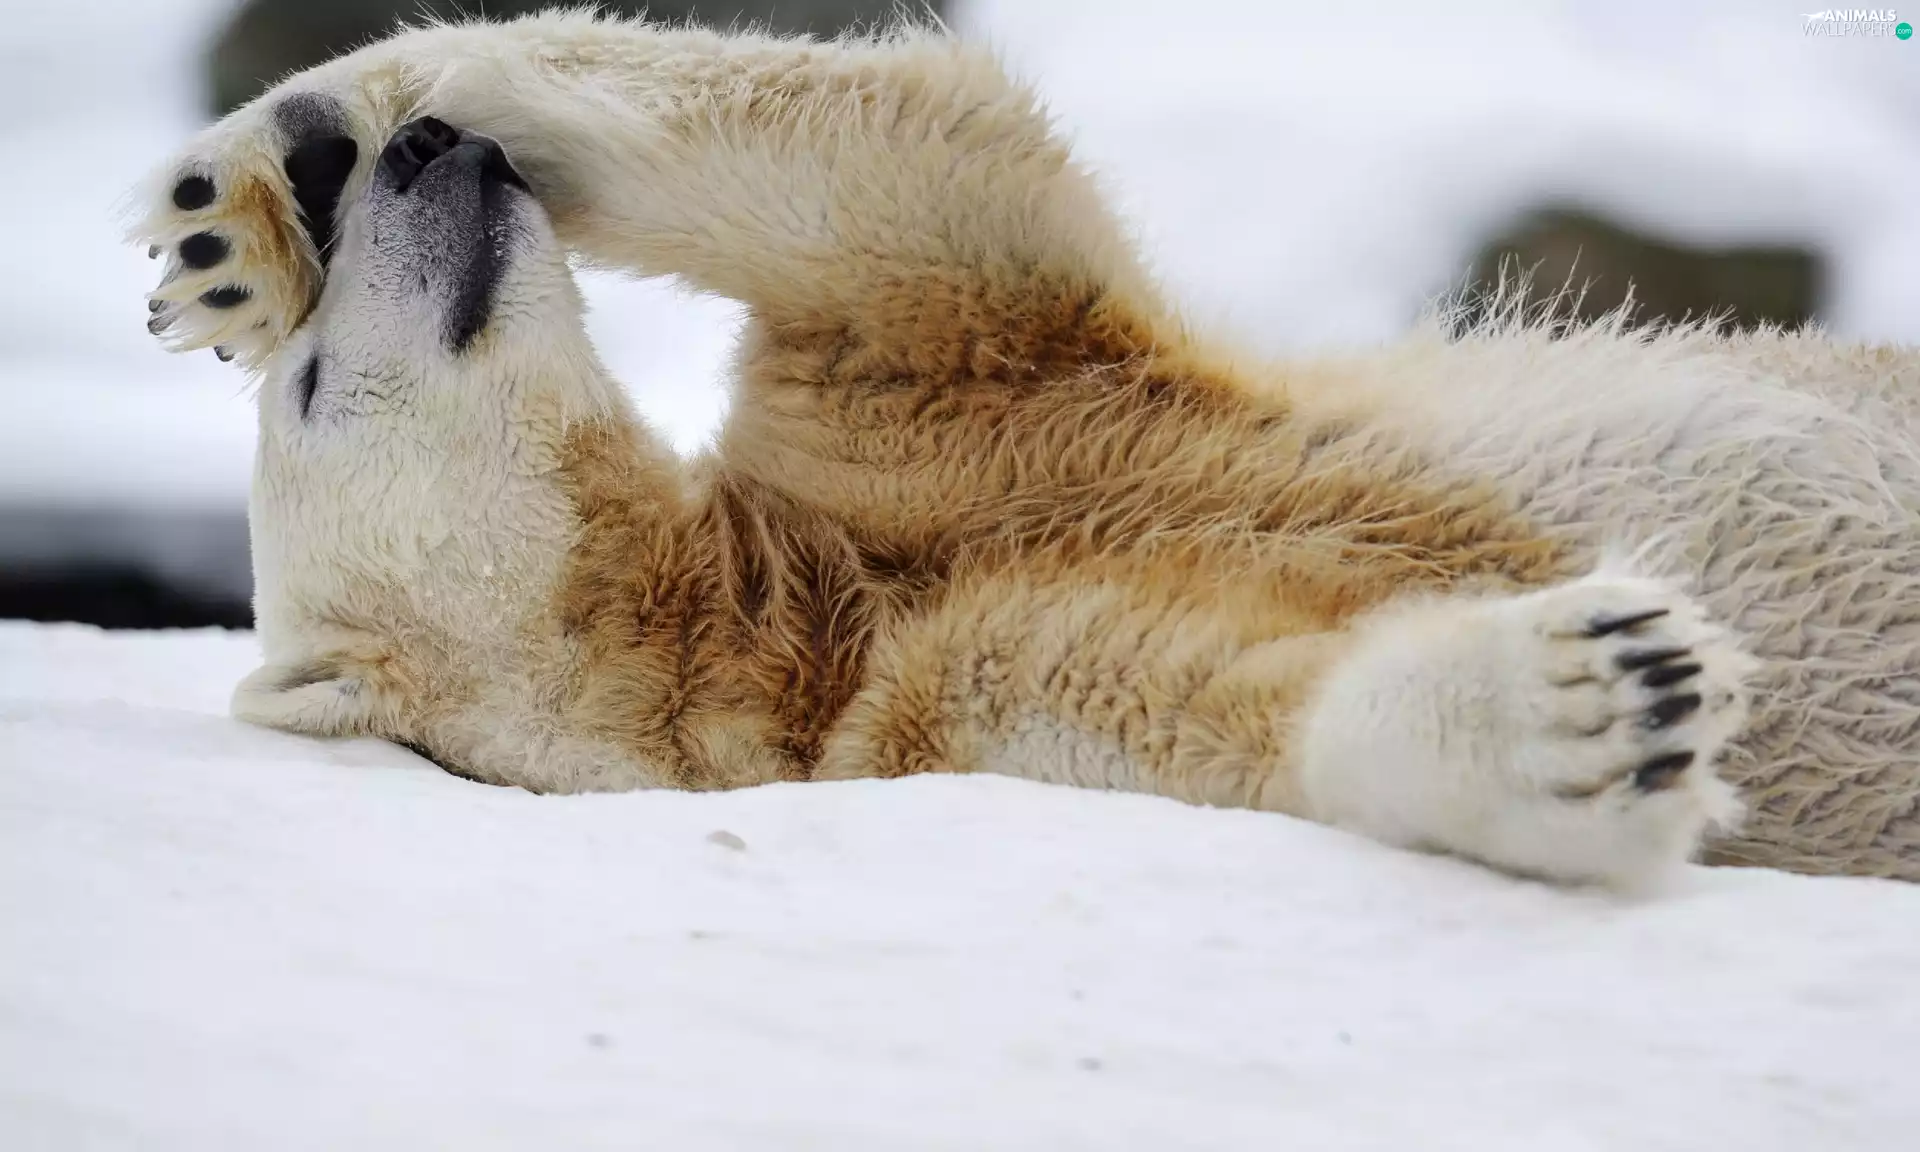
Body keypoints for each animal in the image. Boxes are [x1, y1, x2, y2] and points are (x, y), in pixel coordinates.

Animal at [128, 9, 1918, 886]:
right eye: (314, 394)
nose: (422, 167)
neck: (800, 613)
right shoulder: (953, 702)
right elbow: (1243, 721)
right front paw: (1601, 697)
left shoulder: (938, 420)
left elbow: (905, 177)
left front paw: (251, 194)